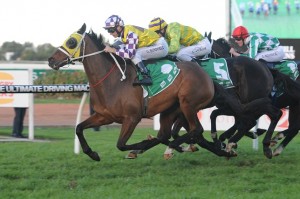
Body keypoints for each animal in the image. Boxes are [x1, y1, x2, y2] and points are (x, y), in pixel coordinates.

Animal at [47, 23, 234, 161]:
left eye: (71, 42)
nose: (51, 60)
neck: (113, 81)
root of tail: (205, 74)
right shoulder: (104, 116)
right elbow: (79, 128)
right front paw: (92, 154)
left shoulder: (132, 118)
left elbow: (121, 145)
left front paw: (139, 146)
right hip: (172, 109)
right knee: (171, 134)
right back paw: (222, 150)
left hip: (188, 104)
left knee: (195, 130)